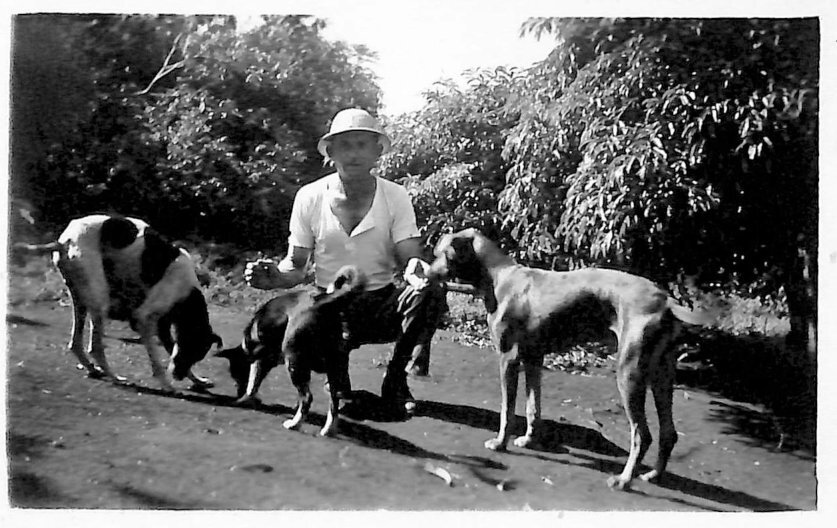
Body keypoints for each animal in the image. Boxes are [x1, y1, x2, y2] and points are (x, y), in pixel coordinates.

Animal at [217, 266, 368, 436]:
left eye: (235, 375)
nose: (237, 390)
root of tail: (324, 302)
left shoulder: (260, 359)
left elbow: (252, 382)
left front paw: (244, 399)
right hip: (335, 367)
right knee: (334, 402)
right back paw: (328, 430)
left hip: (295, 362)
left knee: (307, 398)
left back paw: (294, 424)